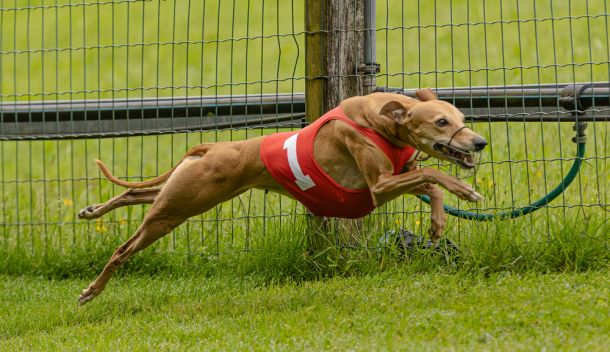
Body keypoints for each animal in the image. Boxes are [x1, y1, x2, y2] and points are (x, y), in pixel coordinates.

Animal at [77, 88, 484, 306]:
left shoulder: (395, 179)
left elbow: (429, 182)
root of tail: (209, 148)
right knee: (122, 249)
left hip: (182, 196)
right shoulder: (379, 186)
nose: (479, 142)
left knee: (135, 191)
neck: (380, 120)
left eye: (462, 117)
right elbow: (433, 174)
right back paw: (91, 291)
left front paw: (438, 222)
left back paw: (93, 210)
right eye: (441, 122)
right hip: (174, 211)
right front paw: (464, 191)